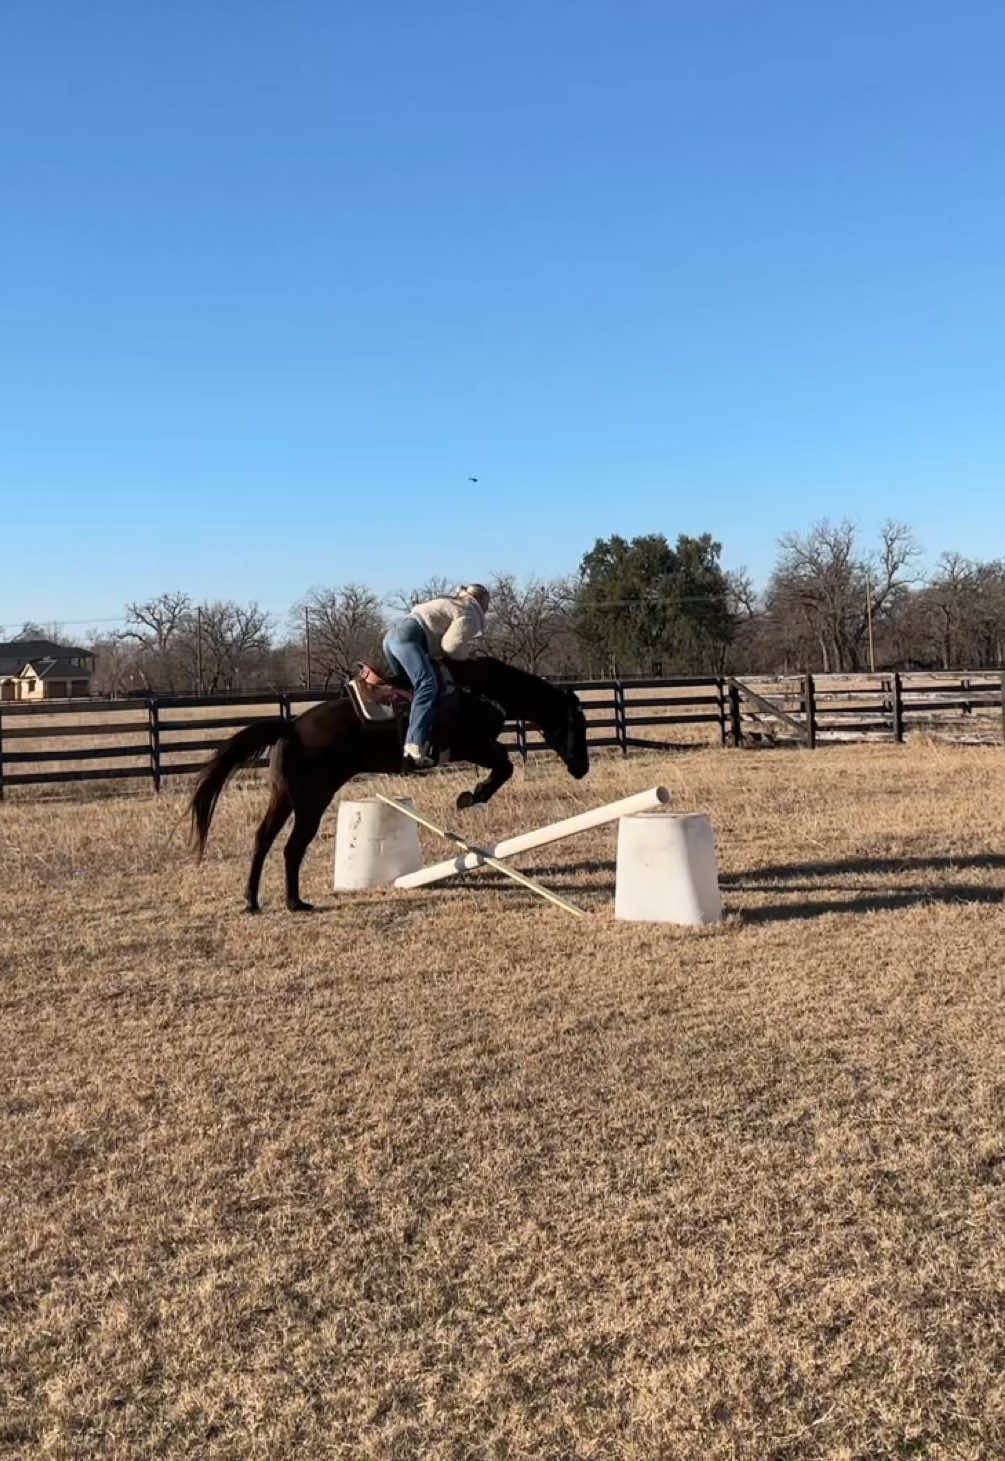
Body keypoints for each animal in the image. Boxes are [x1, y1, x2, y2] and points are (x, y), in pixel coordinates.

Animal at [188, 660, 590, 911]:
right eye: (578, 724)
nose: (582, 769)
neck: (479, 689)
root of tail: (291, 726)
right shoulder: (472, 745)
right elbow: (504, 765)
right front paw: (470, 796)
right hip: (311, 800)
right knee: (291, 847)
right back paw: (293, 902)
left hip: (286, 797)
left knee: (264, 840)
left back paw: (254, 901)